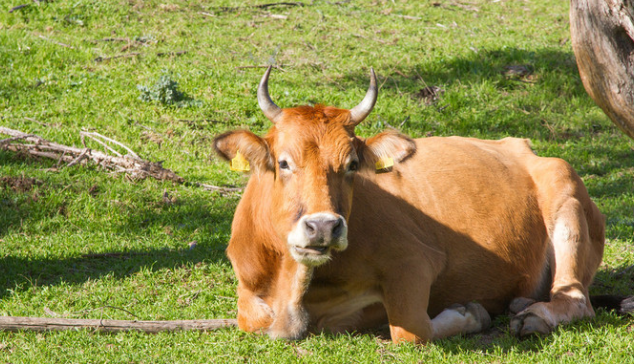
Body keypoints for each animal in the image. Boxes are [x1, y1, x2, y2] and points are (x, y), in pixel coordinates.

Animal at [212, 67, 628, 342]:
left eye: (351, 165)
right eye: (283, 162)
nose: (324, 227)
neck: (292, 289)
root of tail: (524, 147)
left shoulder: (414, 261)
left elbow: (411, 330)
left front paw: (470, 313)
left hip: (565, 193)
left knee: (575, 298)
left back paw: (535, 317)